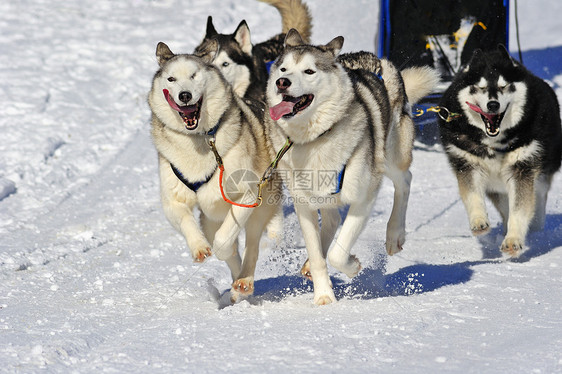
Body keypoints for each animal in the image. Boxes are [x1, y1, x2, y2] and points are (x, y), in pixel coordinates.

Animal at [149, 41, 280, 300]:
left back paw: (244, 281)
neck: (199, 139)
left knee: (251, 244)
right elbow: (186, 222)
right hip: (209, 219)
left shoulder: (247, 195)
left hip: (259, 209)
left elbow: (224, 240)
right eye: (171, 79)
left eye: (194, 75)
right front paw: (199, 248)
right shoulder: (173, 201)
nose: (185, 95)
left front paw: (223, 249)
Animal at [264, 29, 438, 304]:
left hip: (390, 157)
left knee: (405, 181)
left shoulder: (363, 198)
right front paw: (324, 297)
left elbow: (338, 252)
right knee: (332, 220)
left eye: (309, 71)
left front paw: (352, 266)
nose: (282, 82)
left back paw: (394, 234)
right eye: (283, 69)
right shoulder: (304, 205)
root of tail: (377, 60)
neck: (316, 138)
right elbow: (318, 255)